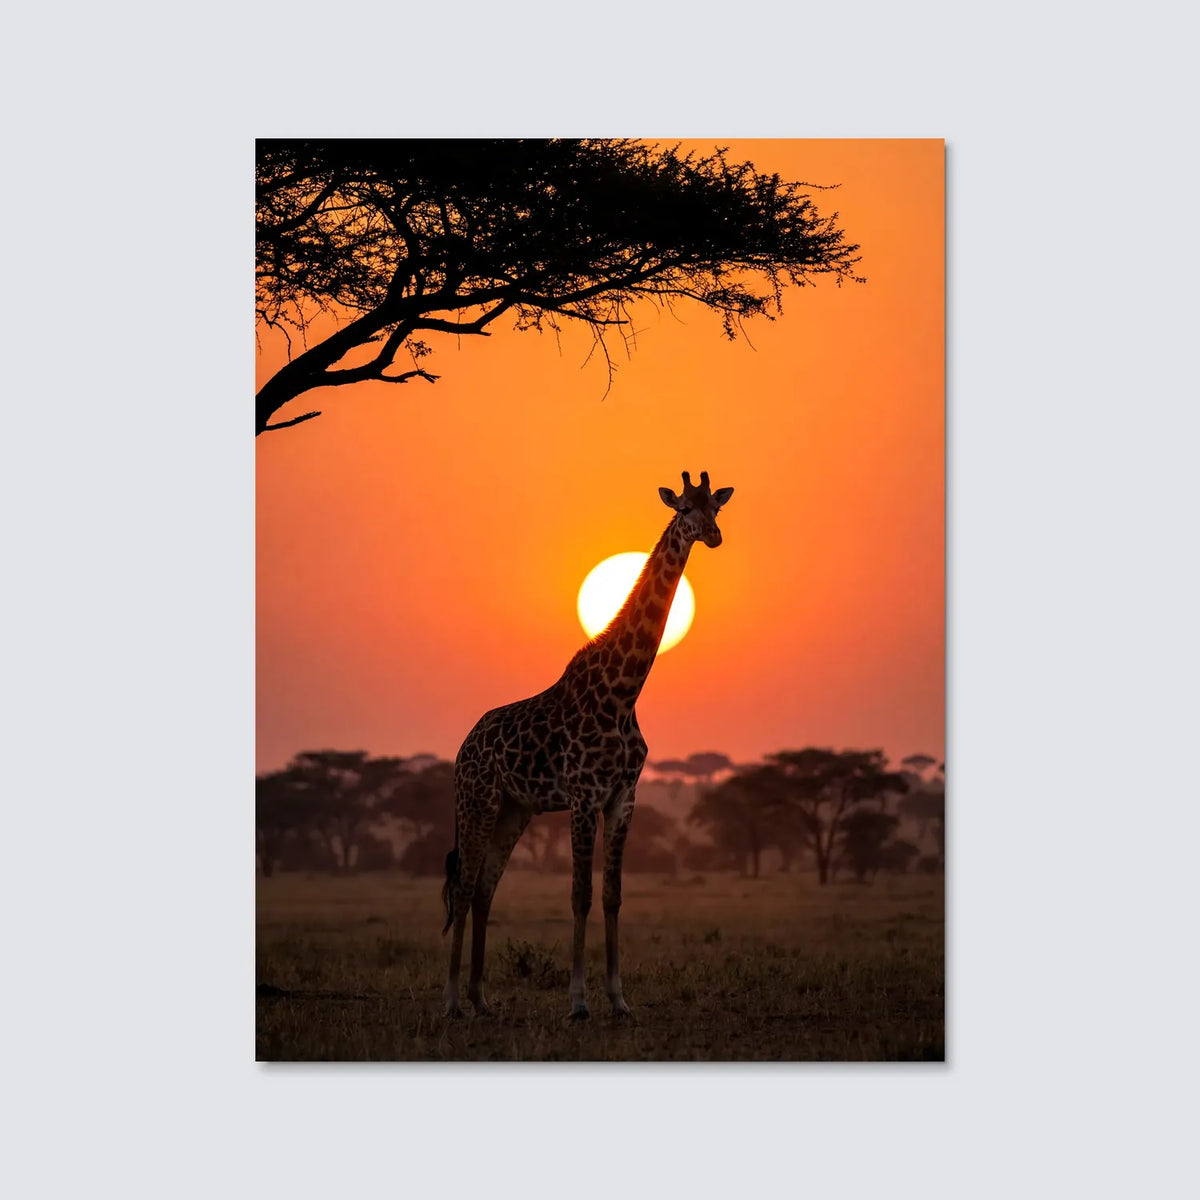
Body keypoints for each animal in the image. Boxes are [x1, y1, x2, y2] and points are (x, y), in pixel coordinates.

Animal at [442, 470, 735, 1019]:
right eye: (684, 508)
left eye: (717, 508)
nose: (713, 536)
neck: (623, 693)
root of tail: (463, 748)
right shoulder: (582, 797)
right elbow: (579, 894)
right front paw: (578, 1002)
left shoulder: (622, 798)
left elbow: (612, 895)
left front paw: (619, 1000)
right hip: (478, 802)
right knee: (466, 885)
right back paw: (451, 1002)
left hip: (515, 809)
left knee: (485, 889)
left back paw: (480, 998)